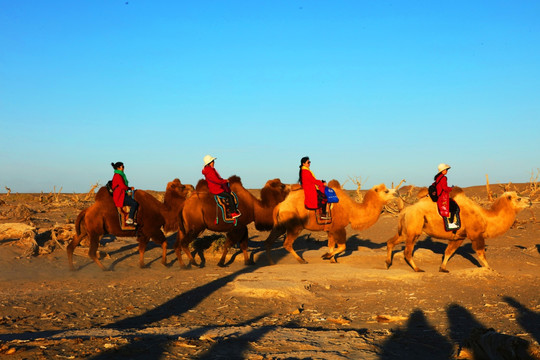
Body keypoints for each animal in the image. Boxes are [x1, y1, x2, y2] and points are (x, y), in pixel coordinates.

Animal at [266, 180, 396, 264]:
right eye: (386, 191)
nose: (397, 193)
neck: (351, 210)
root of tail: (280, 205)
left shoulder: (330, 229)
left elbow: (331, 245)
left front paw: (332, 259)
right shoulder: (339, 228)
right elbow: (342, 246)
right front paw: (326, 256)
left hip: (280, 226)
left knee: (269, 241)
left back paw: (271, 262)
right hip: (295, 226)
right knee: (287, 244)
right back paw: (301, 260)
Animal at [386, 187, 532, 272]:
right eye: (519, 198)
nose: (530, 201)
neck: (485, 217)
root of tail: (405, 210)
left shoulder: (459, 237)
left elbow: (448, 252)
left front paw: (443, 268)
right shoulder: (476, 235)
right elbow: (481, 253)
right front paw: (489, 268)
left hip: (405, 231)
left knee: (391, 242)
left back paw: (388, 263)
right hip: (414, 230)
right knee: (407, 252)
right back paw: (417, 269)